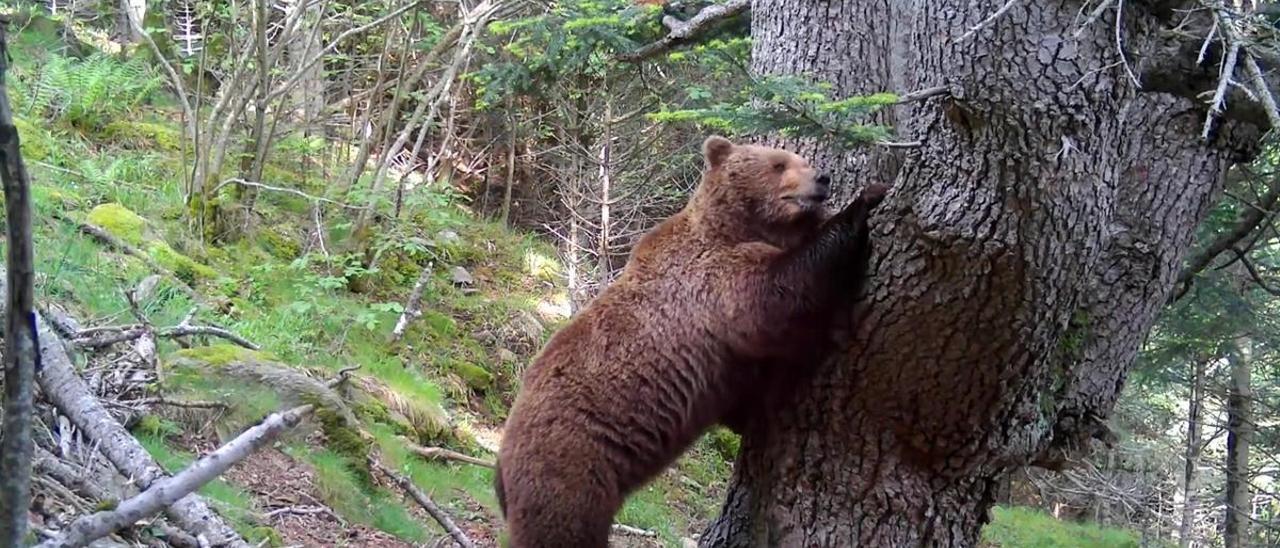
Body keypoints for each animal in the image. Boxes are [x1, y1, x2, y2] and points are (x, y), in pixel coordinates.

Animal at [494, 135, 885, 545]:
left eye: (802, 160)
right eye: (779, 164)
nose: (822, 178)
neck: (739, 226)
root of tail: (500, 464)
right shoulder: (710, 280)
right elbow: (776, 295)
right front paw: (866, 200)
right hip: (570, 462)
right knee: (562, 526)